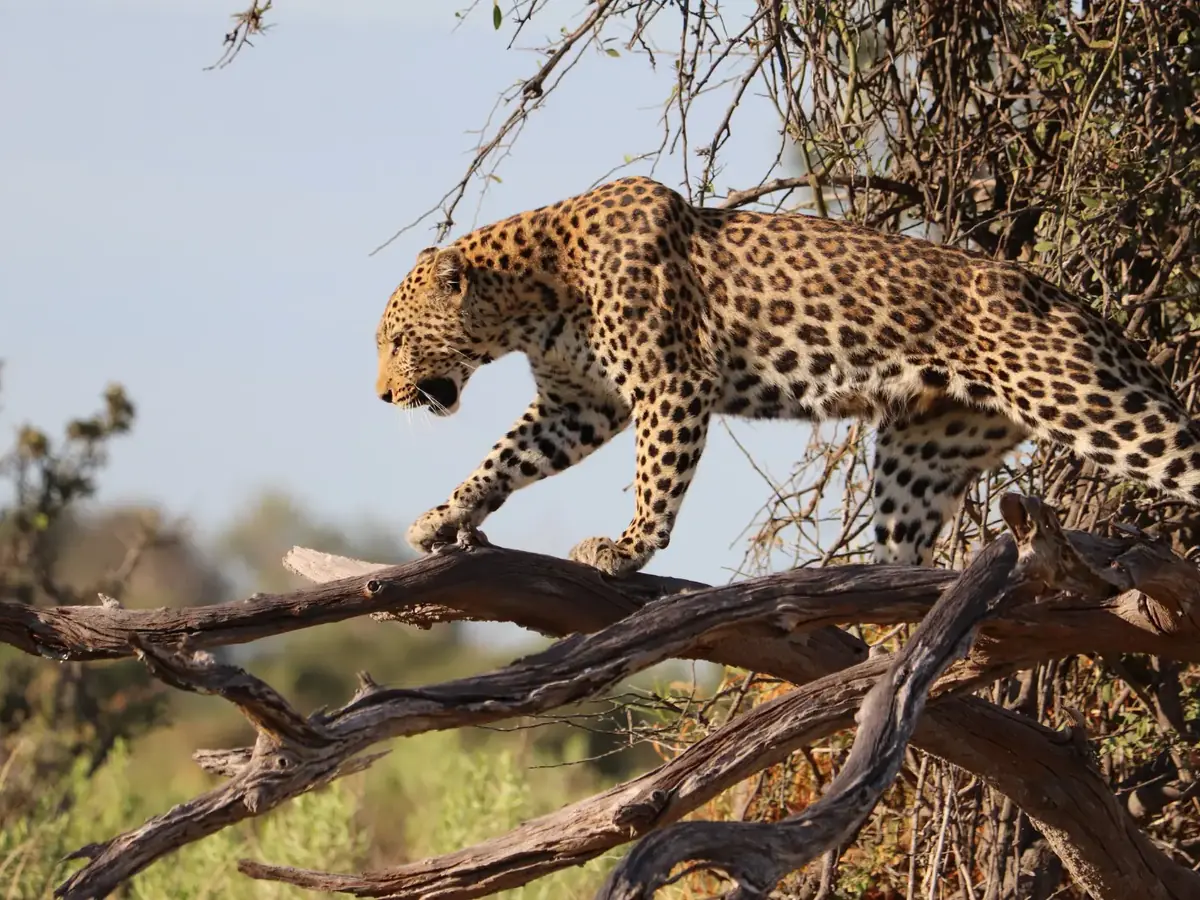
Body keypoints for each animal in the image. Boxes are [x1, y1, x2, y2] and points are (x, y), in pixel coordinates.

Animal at [375, 175, 1200, 577]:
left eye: (395, 340)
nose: (382, 396)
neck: (532, 298)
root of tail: (1074, 301)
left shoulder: (672, 381)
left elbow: (655, 477)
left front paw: (630, 547)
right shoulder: (577, 404)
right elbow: (504, 458)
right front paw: (444, 515)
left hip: (1087, 401)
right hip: (929, 447)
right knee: (903, 543)